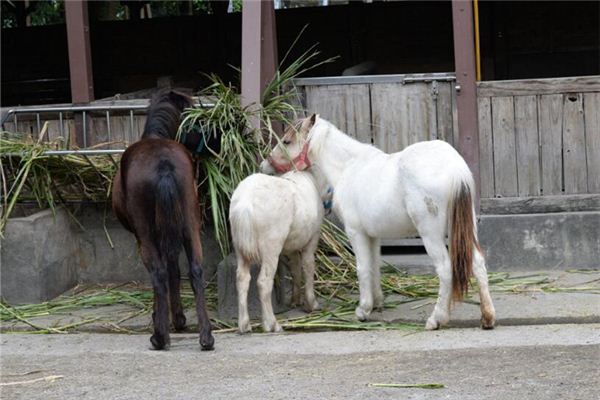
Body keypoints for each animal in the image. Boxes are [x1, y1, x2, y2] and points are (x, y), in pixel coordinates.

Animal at [111, 90, 214, 350]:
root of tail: (163, 163)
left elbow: (164, 273)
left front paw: (162, 317)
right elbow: (175, 270)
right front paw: (178, 318)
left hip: (146, 234)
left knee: (157, 273)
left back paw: (159, 337)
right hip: (189, 226)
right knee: (195, 270)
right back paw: (206, 337)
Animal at [229, 167, 328, 332]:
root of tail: (245, 204)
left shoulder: (292, 246)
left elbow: (295, 269)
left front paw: (295, 300)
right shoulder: (313, 237)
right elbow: (308, 266)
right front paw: (311, 304)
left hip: (239, 244)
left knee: (242, 279)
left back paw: (244, 325)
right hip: (271, 243)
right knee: (264, 282)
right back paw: (272, 324)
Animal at [264, 114, 496, 330]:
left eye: (286, 141)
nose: (265, 165)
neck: (348, 168)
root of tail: (454, 168)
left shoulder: (356, 233)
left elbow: (362, 268)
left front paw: (363, 310)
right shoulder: (373, 236)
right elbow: (374, 266)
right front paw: (376, 303)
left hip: (431, 234)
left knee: (445, 269)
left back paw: (436, 319)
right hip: (465, 229)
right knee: (477, 263)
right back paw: (487, 317)